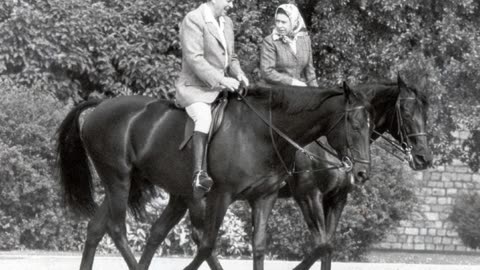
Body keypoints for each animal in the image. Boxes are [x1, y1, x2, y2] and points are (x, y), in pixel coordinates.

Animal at [56, 83, 372, 268]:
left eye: (369, 125)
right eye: (354, 124)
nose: (362, 172)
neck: (262, 132)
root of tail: (100, 106)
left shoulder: (264, 198)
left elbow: (260, 246)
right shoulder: (223, 195)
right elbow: (207, 244)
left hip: (132, 184)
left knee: (99, 228)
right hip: (119, 180)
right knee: (118, 228)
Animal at [276, 75, 434, 270]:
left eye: (425, 115)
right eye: (405, 113)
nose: (424, 158)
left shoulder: (336, 199)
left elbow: (327, 248)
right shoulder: (309, 196)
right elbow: (322, 245)